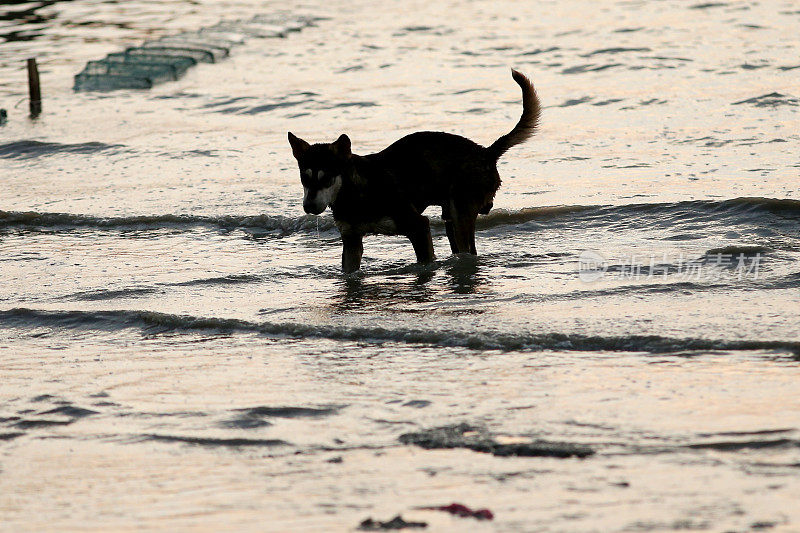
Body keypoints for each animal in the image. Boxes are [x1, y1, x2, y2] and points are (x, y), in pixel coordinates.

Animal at [288, 68, 536, 272]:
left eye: (327, 178)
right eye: (304, 178)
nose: (308, 207)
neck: (356, 190)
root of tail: (486, 152)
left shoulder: (418, 226)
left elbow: (425, 259)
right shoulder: (351, 240)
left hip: (460, 215)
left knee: (468, 250)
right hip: (451, 218)